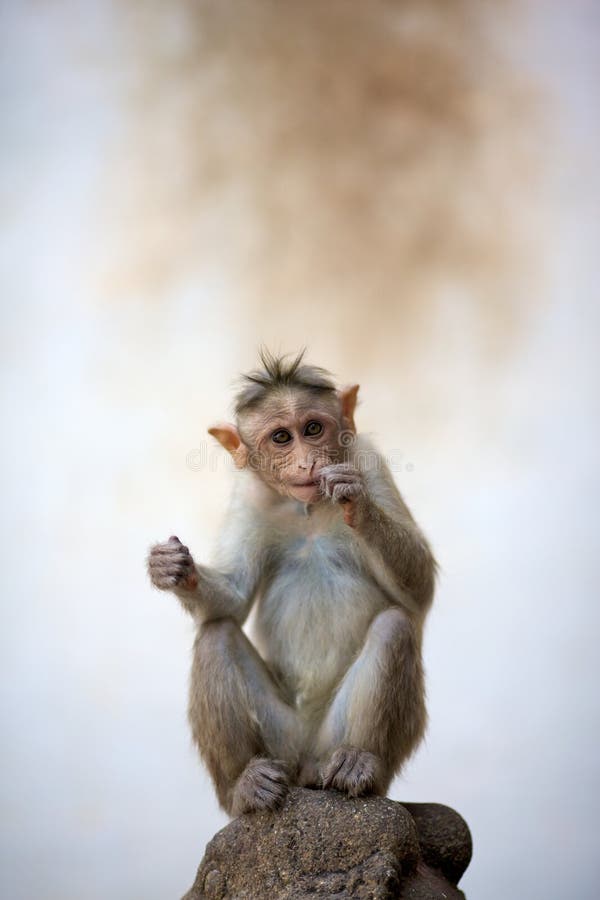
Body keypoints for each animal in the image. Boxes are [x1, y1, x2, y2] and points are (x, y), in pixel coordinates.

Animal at [147, 350, 436, 816]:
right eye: (281, 437)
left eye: (313, 429)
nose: (307, 463)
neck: (308, 508)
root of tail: (305, 763)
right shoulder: (249, 494)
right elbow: (233, 599)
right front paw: (171, 568)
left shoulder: (371, 462)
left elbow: (419, 591)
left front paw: (357, 501)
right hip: (281, 739)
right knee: (216, 635)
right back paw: (244, 786)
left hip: (330, 740)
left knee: (394, 628)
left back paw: (359, 763)